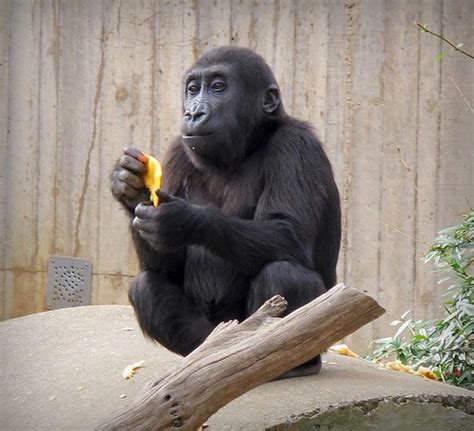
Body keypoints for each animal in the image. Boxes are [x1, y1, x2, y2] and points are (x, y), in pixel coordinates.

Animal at [111, 48, 340, 378]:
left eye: (218, 87)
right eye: (193, 89)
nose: (193, 113)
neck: (250, 143)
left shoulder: (297, 145)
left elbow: (288, 233)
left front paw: (182, 220)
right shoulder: (177, 152)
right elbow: (166, 267)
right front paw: (131, 188)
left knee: (284, 272)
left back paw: (288, 361)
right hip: (213, 333)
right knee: (146, 287)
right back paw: (206, 361)